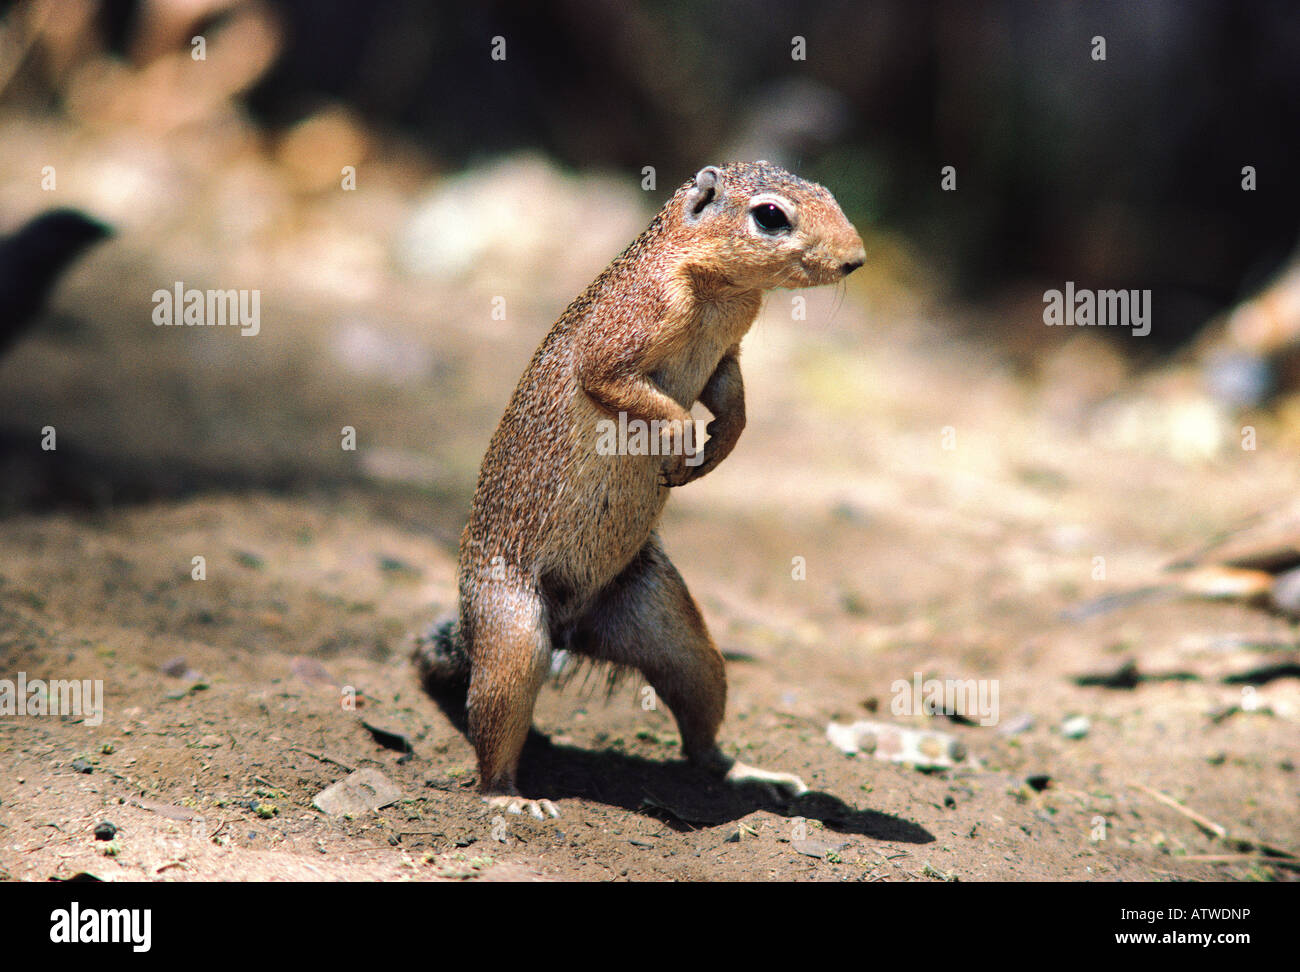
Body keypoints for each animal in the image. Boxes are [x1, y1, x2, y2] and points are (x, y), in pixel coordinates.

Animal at [416, 163, 863, 816]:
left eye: (830, 192)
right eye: (771, 216)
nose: (856, 259)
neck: (719, 289)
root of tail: (573, 628)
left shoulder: (728, 353)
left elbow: (733, 399)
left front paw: (716, 446)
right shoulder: (627, 333)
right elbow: (619, 383)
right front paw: (677, 436)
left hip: (674, 632)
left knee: (699, 727)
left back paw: (749, 775)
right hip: (512, 634)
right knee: (494, 721)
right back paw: (508, 797)